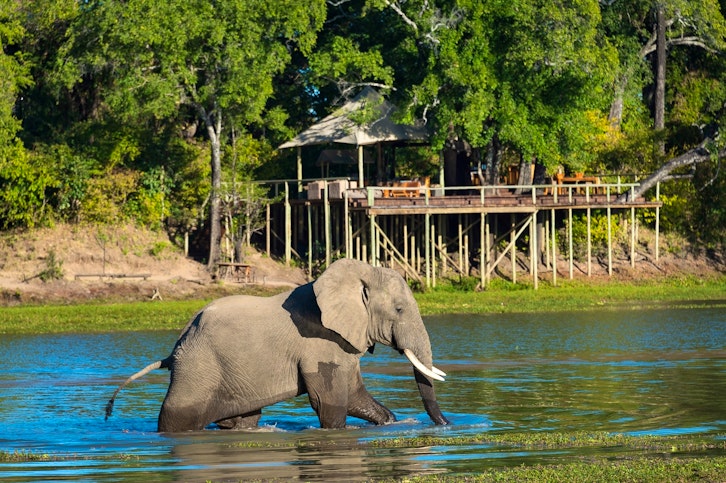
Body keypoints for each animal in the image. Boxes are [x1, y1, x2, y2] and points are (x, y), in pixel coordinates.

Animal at [106, 258, 449, 431]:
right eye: (399, 310)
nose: (446, 425)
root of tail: (174, 348)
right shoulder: (319, 344)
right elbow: (329, 402)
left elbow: (354, 396)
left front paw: (391, 423)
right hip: (196, 369)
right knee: (177, 418)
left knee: (243, 420)